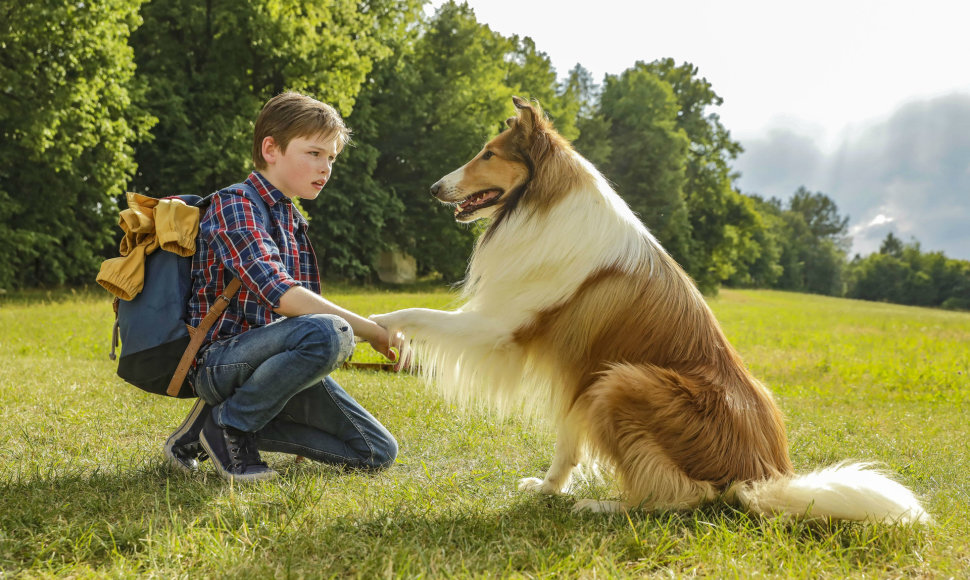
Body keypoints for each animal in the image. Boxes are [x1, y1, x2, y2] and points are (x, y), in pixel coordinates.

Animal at [366, 97, 928, 524]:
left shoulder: (501, 329)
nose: (433, 188)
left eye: (487, 153)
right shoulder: (578, 374)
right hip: (615, 383)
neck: (542, 204)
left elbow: (415, 312)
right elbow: (566, 445)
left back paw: (601, 506)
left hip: (622, 382)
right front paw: (547, 489)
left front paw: (374, 325)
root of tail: (762, 474)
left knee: (682, 497)